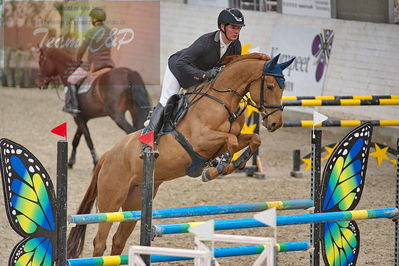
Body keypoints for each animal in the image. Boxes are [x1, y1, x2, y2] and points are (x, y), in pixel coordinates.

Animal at [67, 52, 296, 258]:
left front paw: (235, 163)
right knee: (100, 242)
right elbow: (229, 141)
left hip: (134, 203)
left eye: (283, 87)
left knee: (118, 241)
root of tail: (108, 154)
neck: (223, 100)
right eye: (270, 86)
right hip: (112, 200)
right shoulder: (201, 140)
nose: (275, 123)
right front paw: (217, 169)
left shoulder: (234, 137)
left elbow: (252, 139)